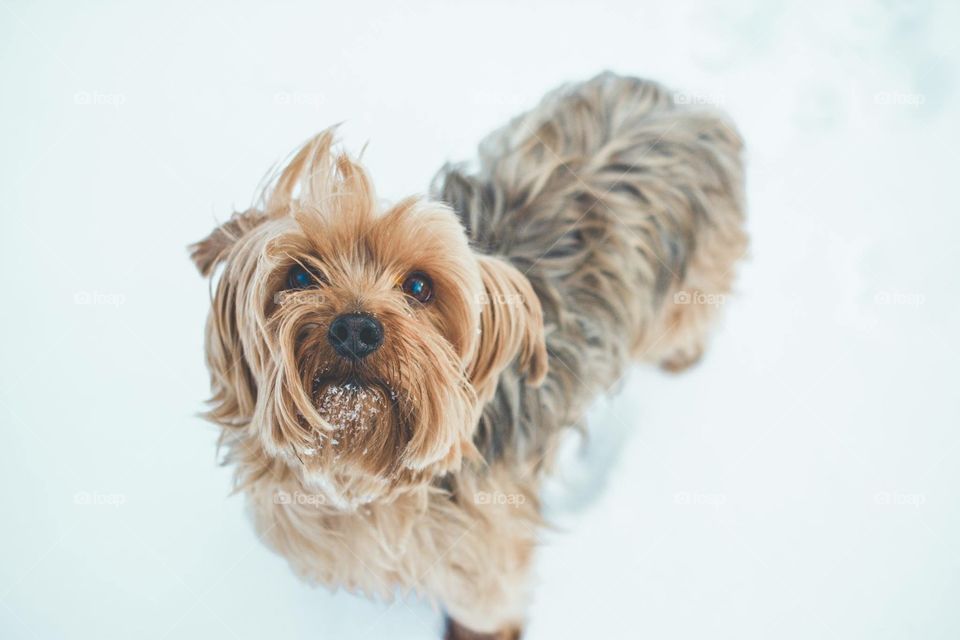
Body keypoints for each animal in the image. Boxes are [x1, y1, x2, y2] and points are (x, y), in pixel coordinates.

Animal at [189, 72, 752, 636]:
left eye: (419, 286)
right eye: (301, 275)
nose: (355, 329)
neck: (366, 476)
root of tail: (678, 103)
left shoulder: (484, 549)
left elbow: (486, 600)